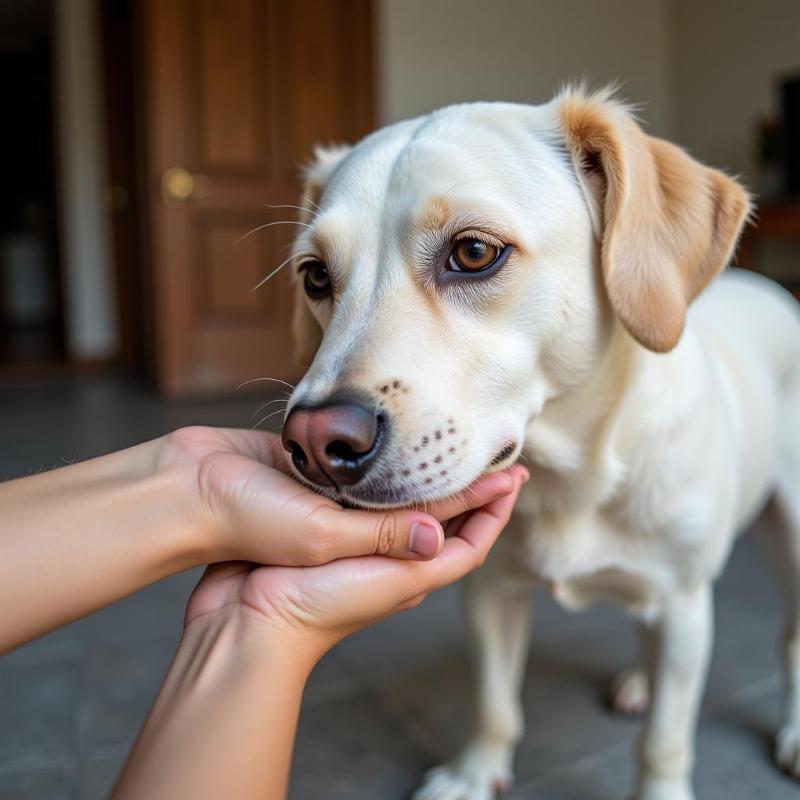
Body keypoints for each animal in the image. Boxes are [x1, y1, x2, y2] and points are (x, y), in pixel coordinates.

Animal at [280, 87, 800, 800]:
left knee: (790, 640)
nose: (311, 441)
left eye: (474, 252)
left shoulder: (686, 605)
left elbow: (664, 741)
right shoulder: (490, 594)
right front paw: (474, 775)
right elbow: (495, 705)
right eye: (315, 276)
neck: (572, 483)